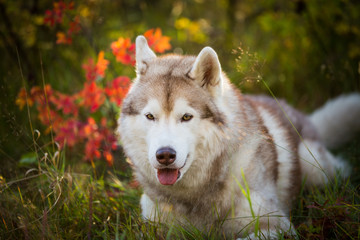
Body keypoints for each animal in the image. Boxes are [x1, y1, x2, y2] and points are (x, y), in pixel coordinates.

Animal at [119, 35, 360, 238]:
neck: (194, 196)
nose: (165, 155)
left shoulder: (279, 226)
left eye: (186, 117)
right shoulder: (152, 226)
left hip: (315, 167)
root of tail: (304, 117)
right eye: (150, 116)